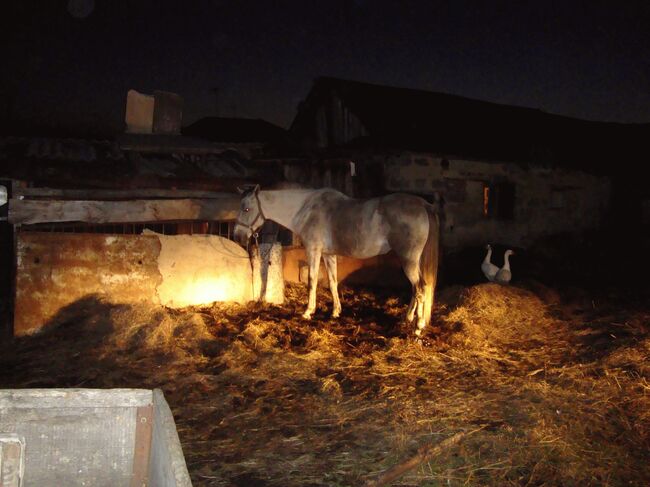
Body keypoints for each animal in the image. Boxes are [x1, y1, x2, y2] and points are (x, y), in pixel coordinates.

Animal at [233, 186, 440, 336]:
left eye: (246, 208)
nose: (237, 236)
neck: (306, 209)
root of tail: (424, 204)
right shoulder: (328, 255)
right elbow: (333, 282)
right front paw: (336, 311)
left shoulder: (314, 251)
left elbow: (312, 281)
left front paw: (308, 312)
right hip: (413, 261)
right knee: (416, 289)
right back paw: (409, 318)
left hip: (408, 260)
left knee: (420, 287)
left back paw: (418, 326)